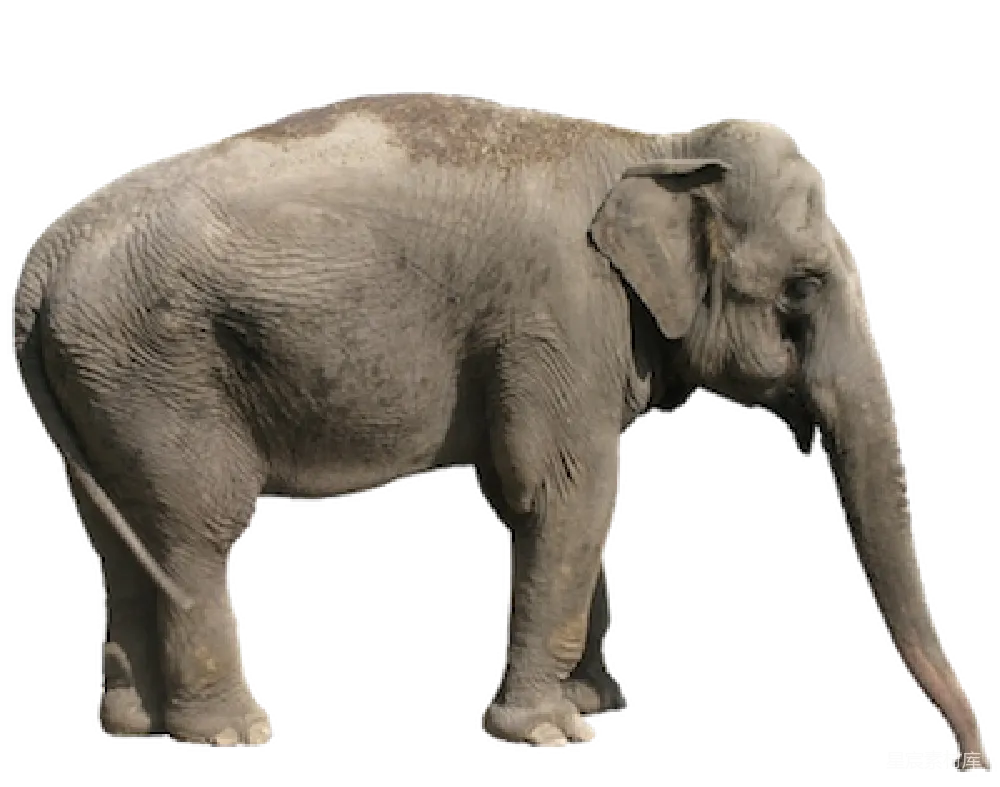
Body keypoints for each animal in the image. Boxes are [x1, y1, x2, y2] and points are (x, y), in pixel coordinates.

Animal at [10, 94, 986, 763]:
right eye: (805, 287)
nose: (971, 762)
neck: (655, 150)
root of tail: (40, 266)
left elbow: (578, 502)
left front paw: (599, 705)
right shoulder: (560, 315)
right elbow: (564, 491)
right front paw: (553, 732)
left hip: (101, 381)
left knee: (121, 536)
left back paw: (134, 723)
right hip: (157, 368)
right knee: (193, 529)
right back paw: (237, 733)